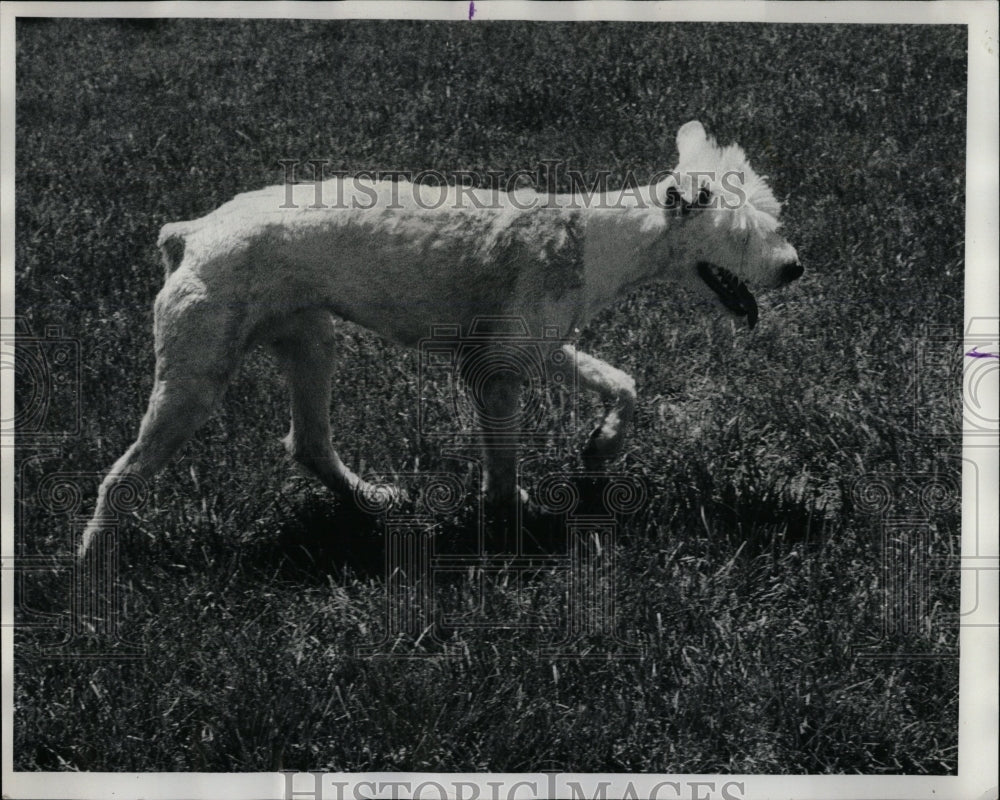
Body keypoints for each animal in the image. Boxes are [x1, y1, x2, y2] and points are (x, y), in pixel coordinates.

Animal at [78, 122, 800, 556]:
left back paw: (375, 500)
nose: (793, 268)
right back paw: (95, 562)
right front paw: (515, 521)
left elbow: (624, 383)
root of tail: (192, 231)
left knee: (308, 443)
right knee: (121, 477)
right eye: (744, 233)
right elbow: (503, 467)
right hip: (196, 379)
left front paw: (601, 447)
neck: (599, 237)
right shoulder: (495, 373)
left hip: (310, 342)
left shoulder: (537, 347)